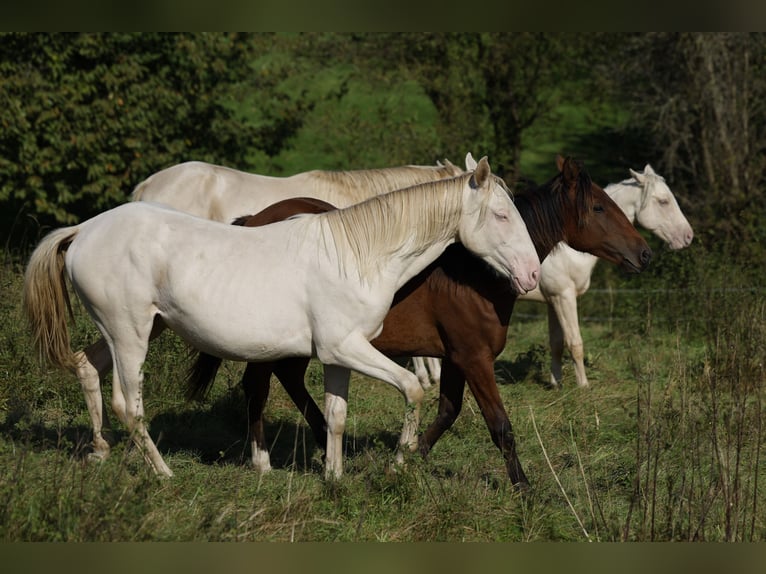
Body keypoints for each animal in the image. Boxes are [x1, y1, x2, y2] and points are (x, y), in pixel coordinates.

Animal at [22, 158, 540, 482]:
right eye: (500, 215)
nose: (532, 274)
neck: (359, 255)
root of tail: (85, 229)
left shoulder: (337, 355)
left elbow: (336, 414)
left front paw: (334, 476)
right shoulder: (347, 347)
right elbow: (413, 389)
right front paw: (401, 460)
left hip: (132, 329)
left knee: (86, 366)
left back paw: (101, 451)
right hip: (130, 335)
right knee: (129, 406)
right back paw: (163, 473)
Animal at [188, 155, 656, 488]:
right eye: (599, 207)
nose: (645, 253)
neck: (473, 275)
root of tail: (253, 220)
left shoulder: (454, 358)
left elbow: (447, 411)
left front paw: (407, 461)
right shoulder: (474, 357)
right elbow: (500, 425)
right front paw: (523, 487)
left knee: (288, 382)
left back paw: (323, 441)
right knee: (258, 388)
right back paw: (266, 460)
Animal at [414, 164, 696, 394]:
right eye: (663, 201)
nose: (688, 237)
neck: (567, 250)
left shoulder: (552, 301)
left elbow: (557, 343)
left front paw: (556, 383)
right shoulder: (564, 297)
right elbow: (575, 342)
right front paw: (583, 387)